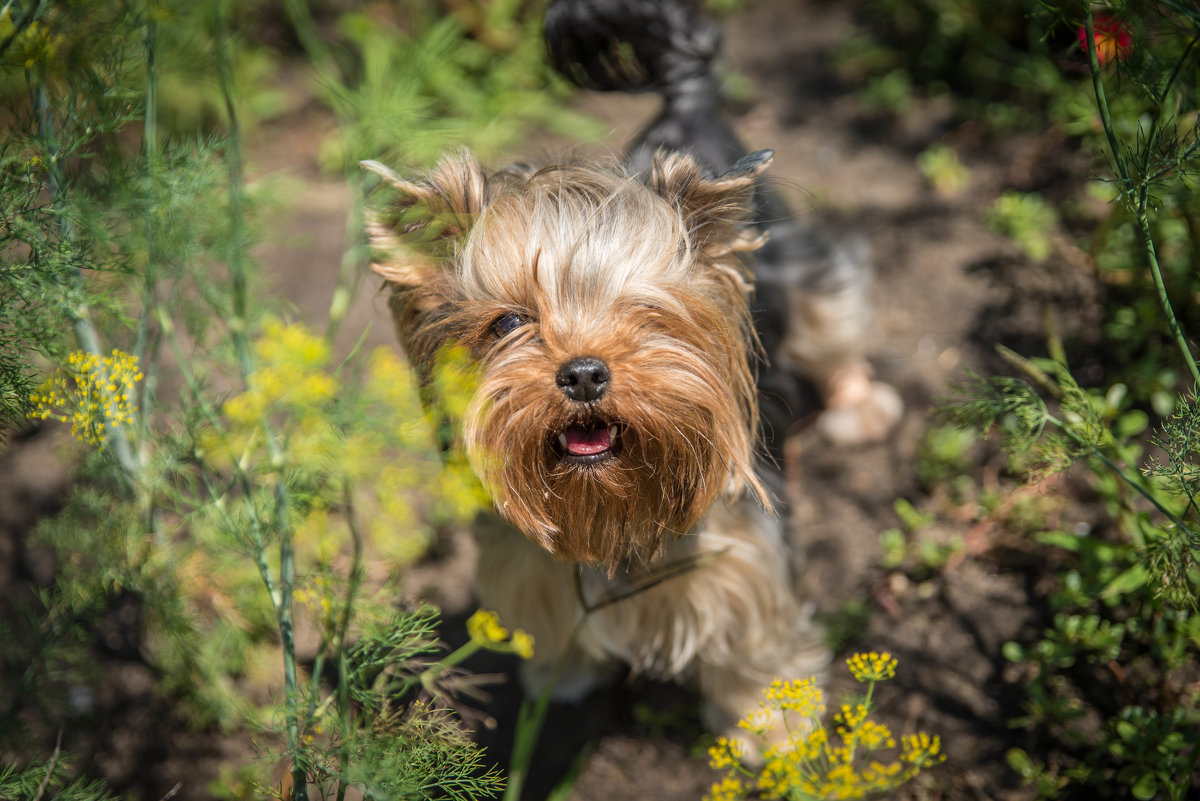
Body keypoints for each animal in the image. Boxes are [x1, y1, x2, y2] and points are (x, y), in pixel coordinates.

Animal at [364, 0, 902, 738]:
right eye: (507, 324)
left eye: (648, 315)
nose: (584, 374)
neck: (612, 504)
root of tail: (687, 98)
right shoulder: (528, 564)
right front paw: (560, 678)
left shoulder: (743, 562)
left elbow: (755, 643)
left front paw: (774, 728)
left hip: (800, 264)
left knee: (835, 312)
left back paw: (861, 407)